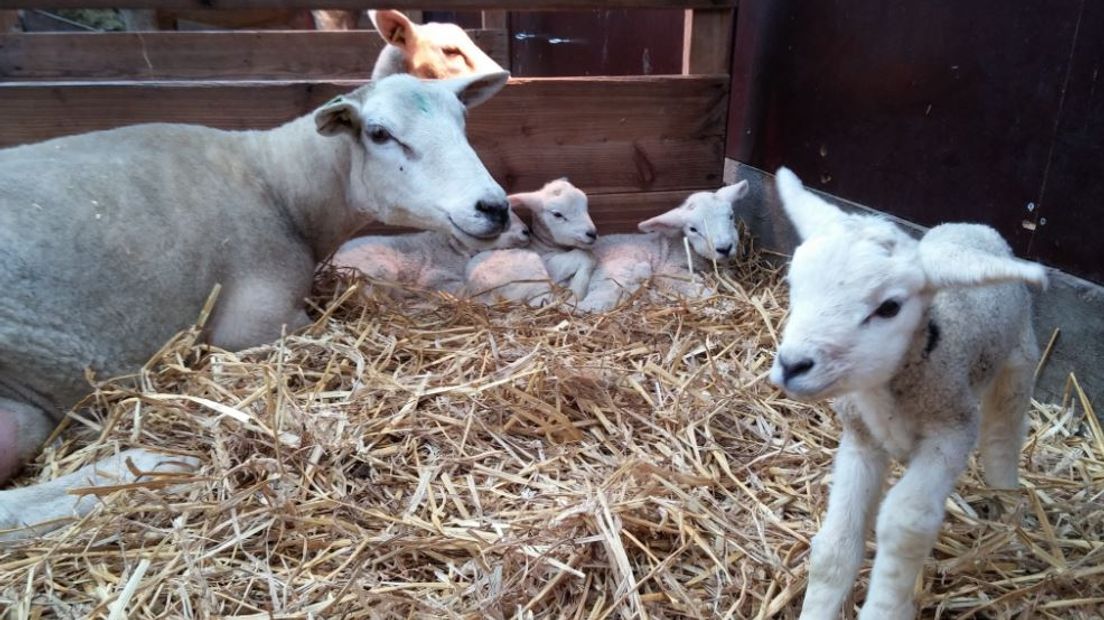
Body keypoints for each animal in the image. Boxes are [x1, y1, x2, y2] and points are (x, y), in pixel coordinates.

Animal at [0, 70, 507, 538]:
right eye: (379, 133)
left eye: (462, 120)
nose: (495, 207)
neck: (281, 184)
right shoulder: (256, 321)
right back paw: (154, 464)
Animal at [768, 166, 1042, 617]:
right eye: (794, 282)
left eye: (889, 308)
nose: (792, 365)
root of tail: (975, 227)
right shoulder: (860, 439)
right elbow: (835, 547)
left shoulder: (951, 431)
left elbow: (905, 523)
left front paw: (884, 607)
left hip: (1017, 361)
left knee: (1003, 436)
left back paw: (1011, 507)